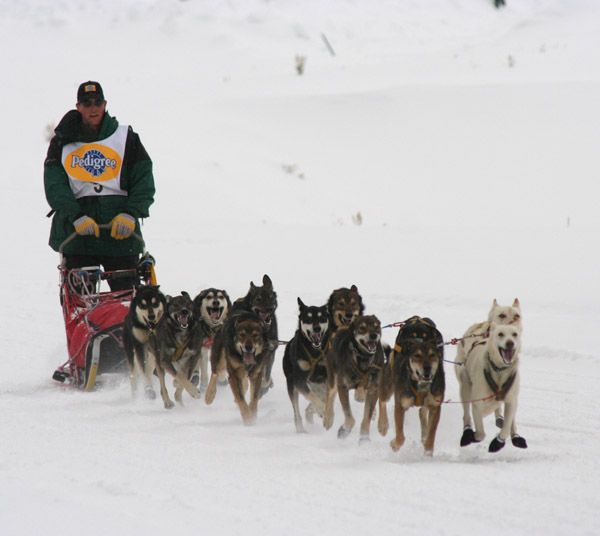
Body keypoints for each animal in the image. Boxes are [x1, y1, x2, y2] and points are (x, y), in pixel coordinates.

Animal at [282, 300, 330, 434]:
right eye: (308, 319)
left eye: (321, 317)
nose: (316, 328)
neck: (315, 352)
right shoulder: (299, 380)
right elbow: (312, 397)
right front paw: (321, 409)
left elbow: (324, 397)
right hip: (292, 385)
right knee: (297, 411)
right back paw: (301, 430)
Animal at [380, 316, 446, 454]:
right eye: (417, 355)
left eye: (432, 355)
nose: (427, 368)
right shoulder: (400, 404)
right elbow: (400, 436)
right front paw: (395, 444)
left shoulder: (435, 406)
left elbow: (431, 435)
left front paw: (428, 452)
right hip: (388, 382)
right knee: (381, 400)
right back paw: (382, 425)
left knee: (422, 411)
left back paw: (424, 434)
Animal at [454, 322, 524, 452]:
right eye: (500, 334)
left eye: (514, 334)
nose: (510, 343)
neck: (499, 371)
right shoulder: (477, 404)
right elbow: (481, 433)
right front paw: (473, 436)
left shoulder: (511, 400)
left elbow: (506, 428)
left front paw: (498, 442)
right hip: (465, 388)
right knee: (466, 415)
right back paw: (467, 432)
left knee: (508, 418)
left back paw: (515, 435)